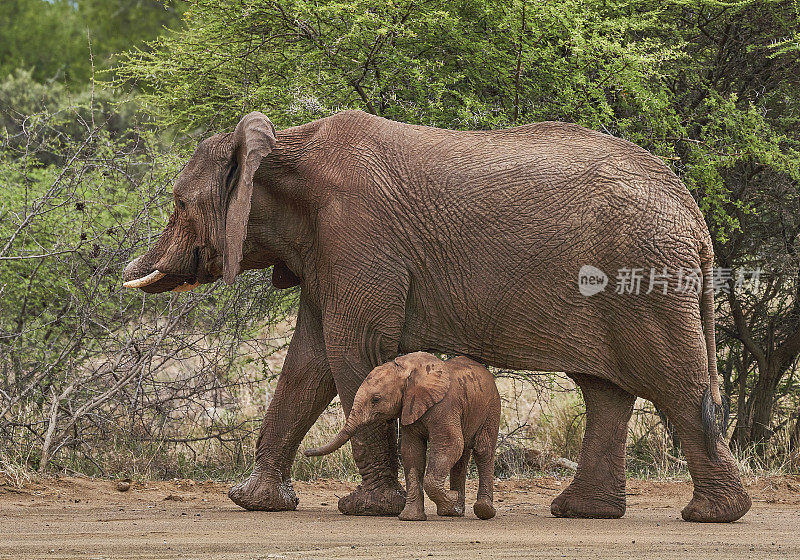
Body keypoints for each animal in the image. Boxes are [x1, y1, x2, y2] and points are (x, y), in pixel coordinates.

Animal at [304, 352, 500, 520]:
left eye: (376, 399)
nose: (305, 452)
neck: (408, 370)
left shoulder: (445, 406)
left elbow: (450, 445)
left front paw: (451, 497)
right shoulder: (409, 408)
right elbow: (412, 452)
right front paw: (411, 518)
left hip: (492, 408)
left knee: (482, 451)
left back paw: (482, 511)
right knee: (462, 458)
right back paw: (452, 512)